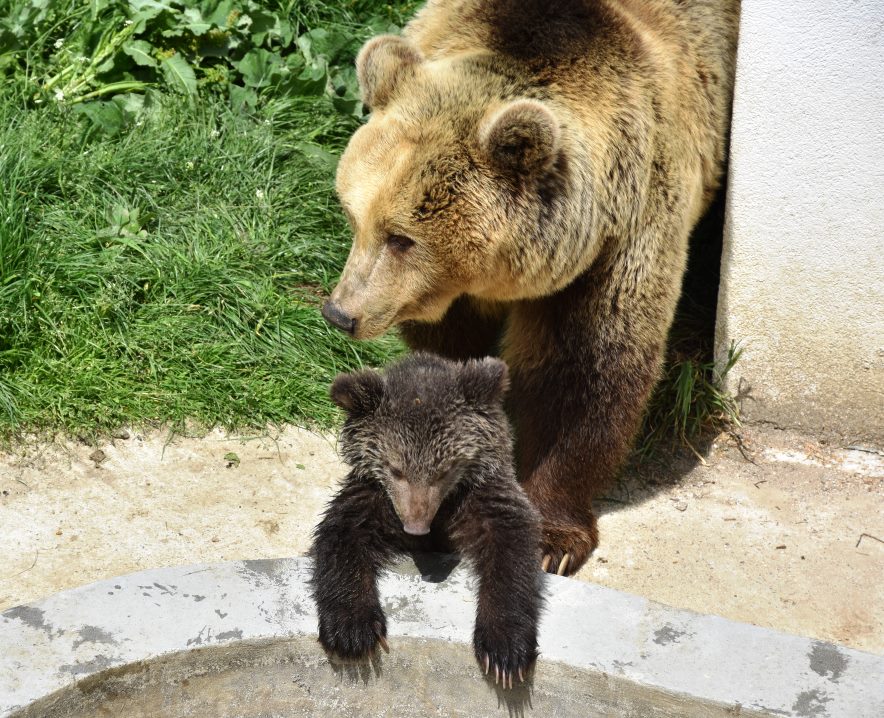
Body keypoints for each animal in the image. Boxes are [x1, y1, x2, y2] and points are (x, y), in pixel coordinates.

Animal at [322, 0, 740, 576]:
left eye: (401, 237)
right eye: (352, 215)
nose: (341, 313)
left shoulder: (620, 239)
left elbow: (582, 369)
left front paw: (551, 538)